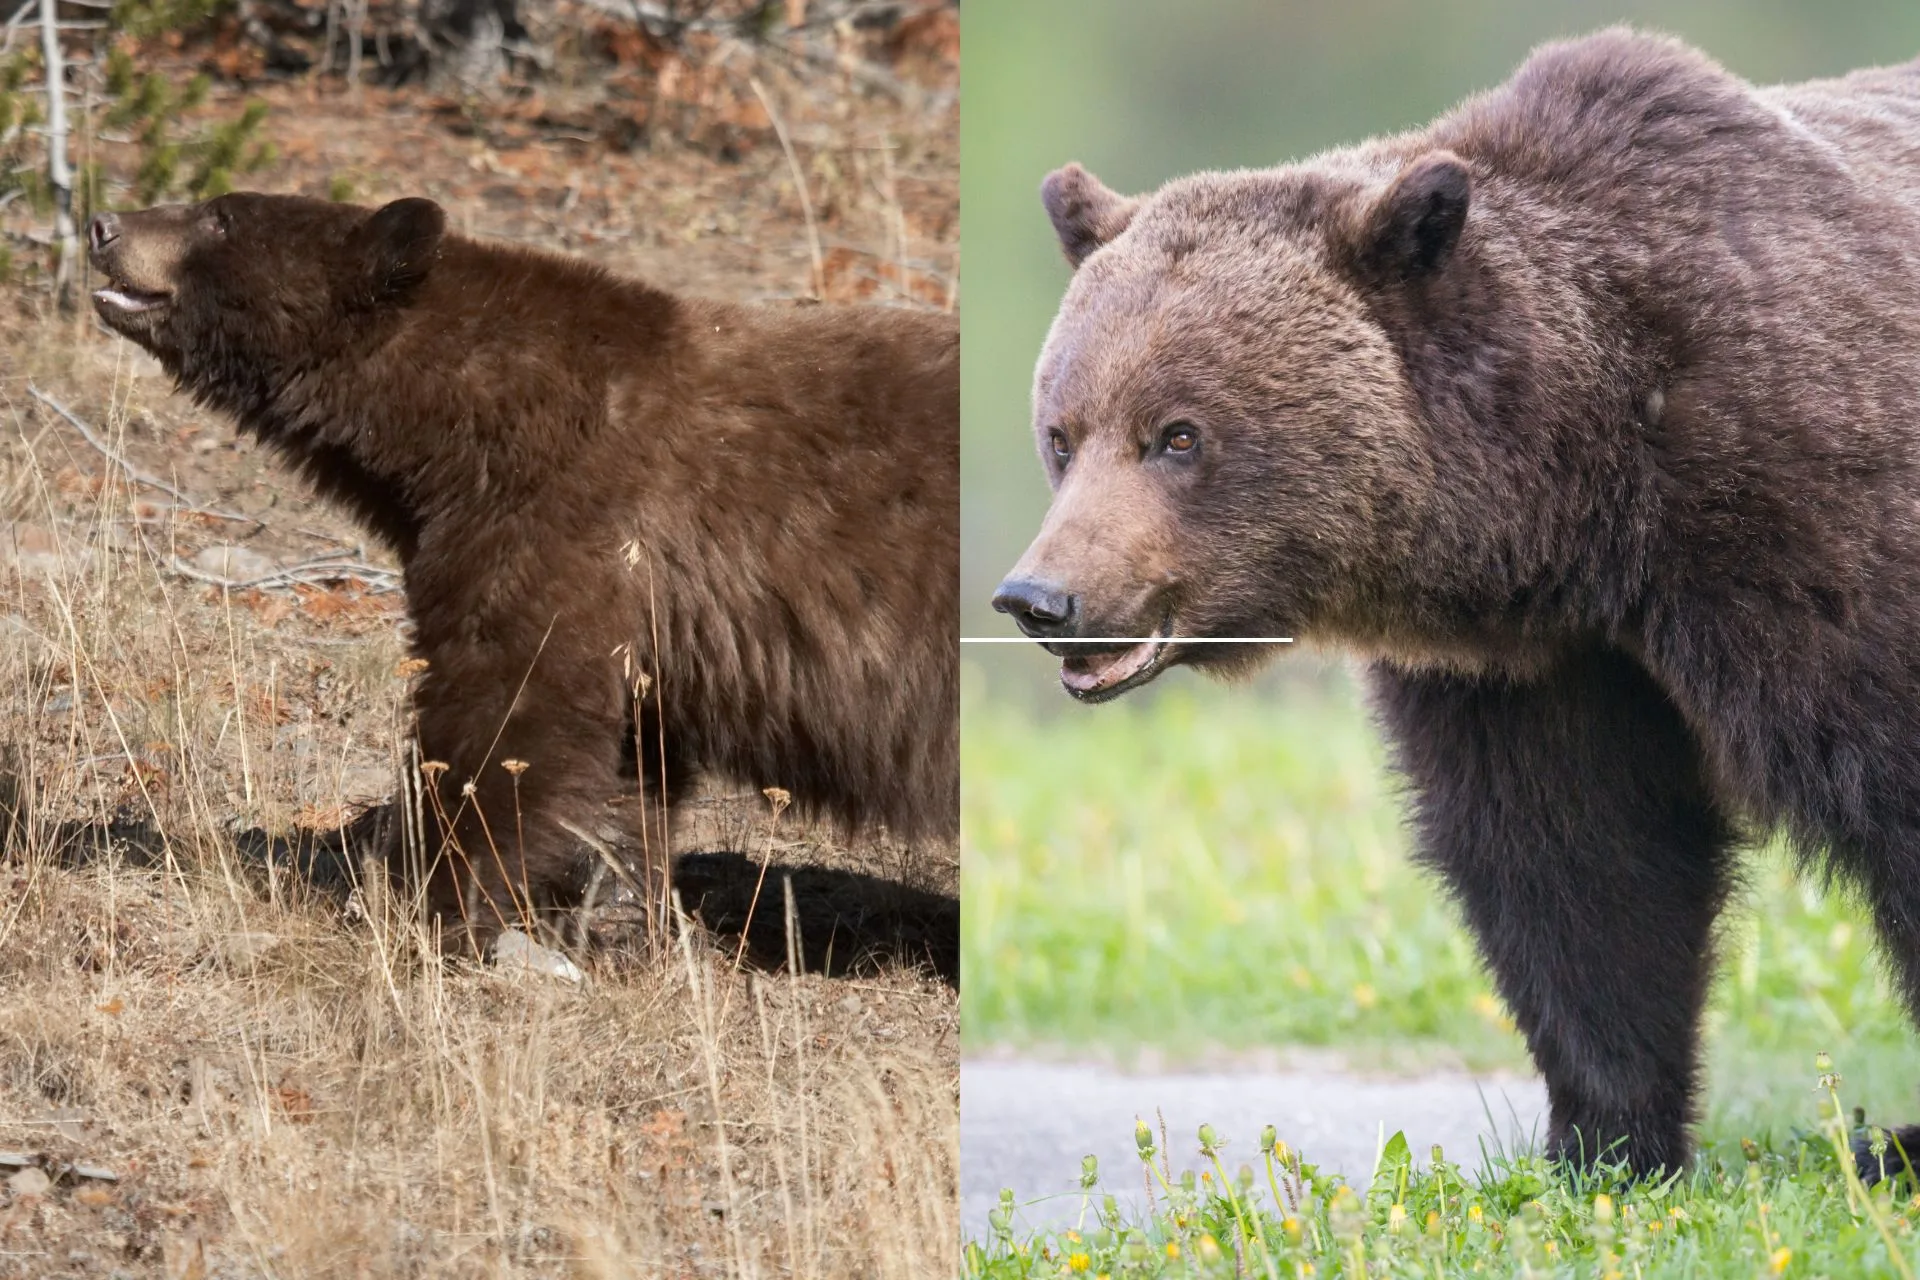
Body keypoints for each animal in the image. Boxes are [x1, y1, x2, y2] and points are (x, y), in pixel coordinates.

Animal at [88, 192, 958, 938]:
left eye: (220, 217)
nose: (102, 224)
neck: (456, 424)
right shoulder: (640, 614)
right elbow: (629, 764)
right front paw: (613, 912)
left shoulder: (561, 520)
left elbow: (506, 704)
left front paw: (438, 897)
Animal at [993, 28, 1920, 1176]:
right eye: (1062, 433)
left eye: (1178, 434)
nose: (1042, 596)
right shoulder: (1535, 664)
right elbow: (1578, 860)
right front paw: (1606, 1140)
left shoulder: (1810, 518)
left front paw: (1892, 1141)